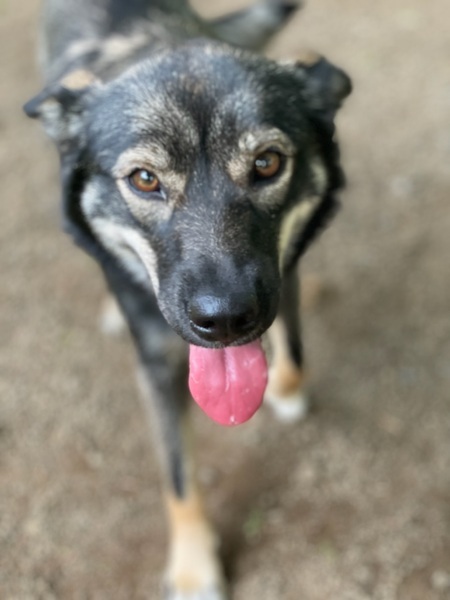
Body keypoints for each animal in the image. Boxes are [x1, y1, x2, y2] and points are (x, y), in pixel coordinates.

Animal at [24, 0, 351, 597]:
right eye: (144, 179)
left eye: (267, 163)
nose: (225, 323)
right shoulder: (156, 363)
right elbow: (177, 476)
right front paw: (194, 566)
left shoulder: (284, 271)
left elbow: (292, 354)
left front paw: (285, 392)